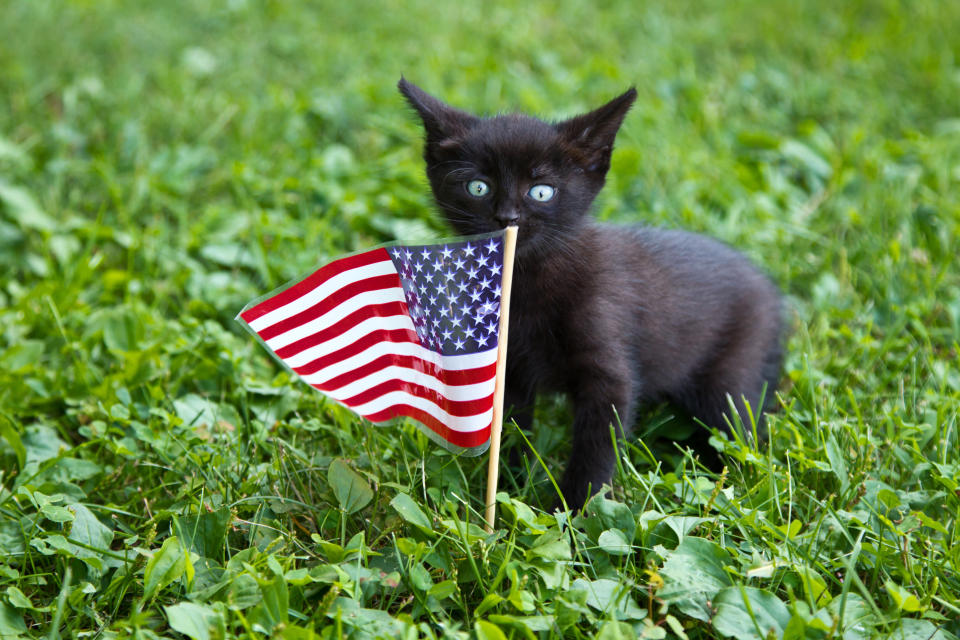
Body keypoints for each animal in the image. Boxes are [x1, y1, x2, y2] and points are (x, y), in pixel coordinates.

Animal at [402, 79, 784, 510]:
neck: (528, 282)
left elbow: (596, 447)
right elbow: (512, 429)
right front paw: (510, 489)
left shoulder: (608, 370)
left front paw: (573, 509)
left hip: (731, 375)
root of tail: (770, 290)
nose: (507, 218)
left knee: (741, 432)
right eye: (478, 187)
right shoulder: (510, 368)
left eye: (541, 192)